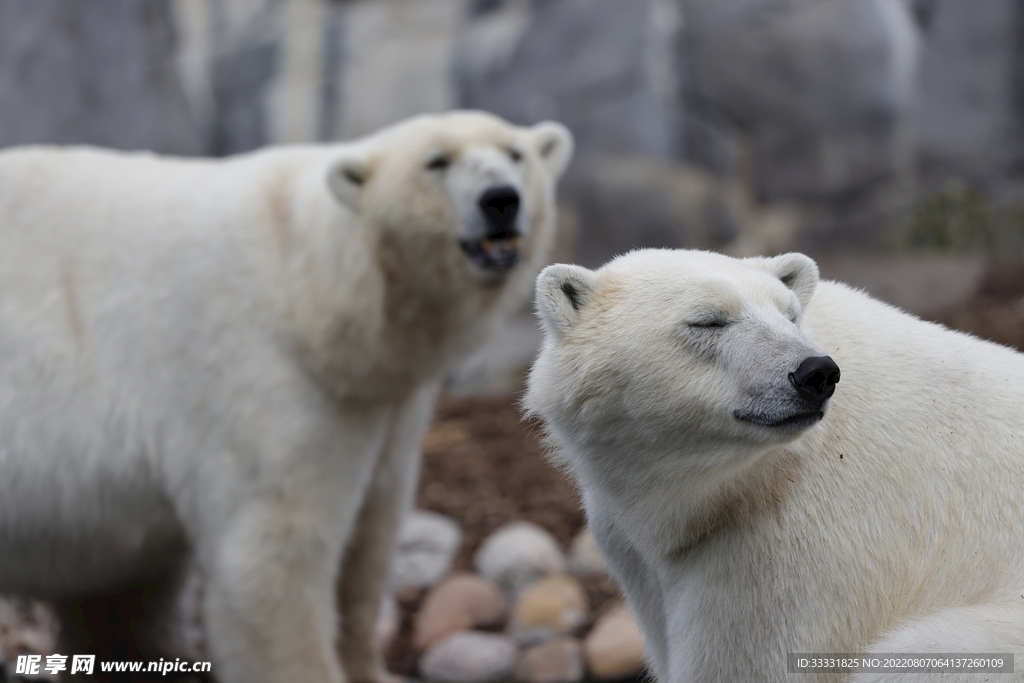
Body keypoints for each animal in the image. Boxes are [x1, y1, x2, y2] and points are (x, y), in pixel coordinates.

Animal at [0, 109, 577, 679]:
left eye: (515, 154)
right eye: (436, 162)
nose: (501, 199)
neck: (310, 293)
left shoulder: (386, 406)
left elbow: (367, 542)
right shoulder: (261, 377)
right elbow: (272, 555)